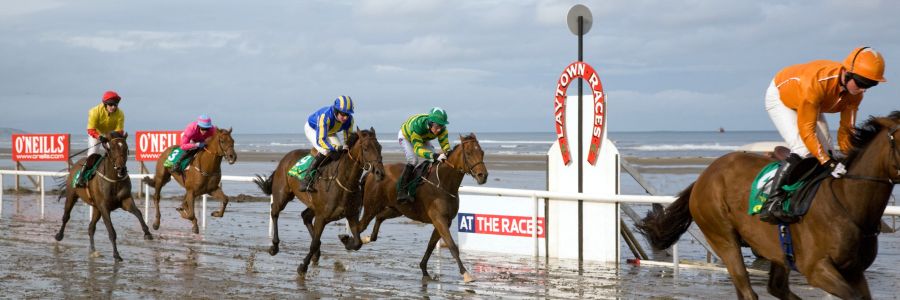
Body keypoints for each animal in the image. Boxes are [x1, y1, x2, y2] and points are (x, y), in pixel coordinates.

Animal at [55, 132, 153, 262]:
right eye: (112, 148)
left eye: (126, 148)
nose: (121, 169)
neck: (114, 179)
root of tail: (75, 165)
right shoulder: (104, 207)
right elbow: (111, 231)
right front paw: (116, 255)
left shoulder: (125, 201)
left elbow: (138, 213)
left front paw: (147, 233)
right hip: (72, 196)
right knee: (66, 217)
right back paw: (59, 236)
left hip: (96, 208)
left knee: (91, 227)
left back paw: (93, 250)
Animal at [251, 127, 384, 278]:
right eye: (366, 148)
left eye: (380, 147)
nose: (380, 172)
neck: (343, 182)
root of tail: (285, 158)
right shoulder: (322, 217)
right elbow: (314, 243)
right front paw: (303, 266)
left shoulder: (351, 215)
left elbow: (357, 243)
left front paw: (345, 240)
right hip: (283, 195)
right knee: (275, 211)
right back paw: (274, 246)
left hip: (312, 205)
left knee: (305, 216)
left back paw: (316, 253)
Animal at [346, 134, 486, 282]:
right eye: (469, 153)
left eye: (482, 152)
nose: (483, 175)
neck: (443, 183)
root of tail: (372, 173)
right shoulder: (439, 219)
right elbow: (452, 245)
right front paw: (466, 274)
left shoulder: (445, 221)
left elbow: (431, 245)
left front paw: (424, 270)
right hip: (371, 207)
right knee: (359, 226)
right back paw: (349, 242)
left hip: (396, 209)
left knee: (379, 219)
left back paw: (364, 239)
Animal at [640, 111, 900, 298]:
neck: (846, 202)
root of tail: (704, 175)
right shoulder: (817, 269)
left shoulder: (854, 271)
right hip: (723, 236)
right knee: (747, 289)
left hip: (775, 248)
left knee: (775, 287)